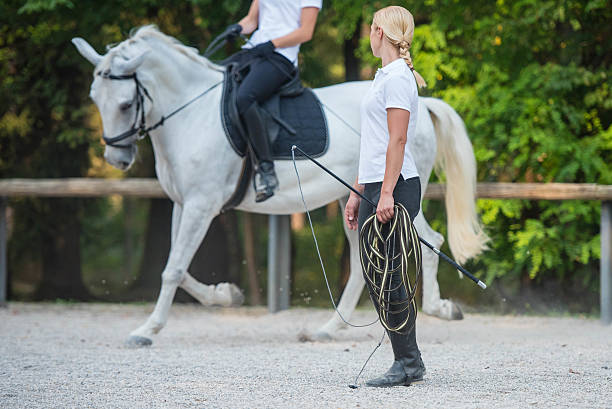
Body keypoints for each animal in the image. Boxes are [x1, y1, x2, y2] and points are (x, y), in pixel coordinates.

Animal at [71, 26, 490, 344]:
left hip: (393, 197)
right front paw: (227, 295)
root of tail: (422, 102)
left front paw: (147, 330)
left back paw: (441, 309)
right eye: (94, 98)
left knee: (431, 241)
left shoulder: (201, 204)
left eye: (125, 105)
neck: (191, 111)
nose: (117, 159)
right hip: (353, 200)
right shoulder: (182, 203)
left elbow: (173, 269)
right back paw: (329, 328)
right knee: (363, 263)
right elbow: (177, 265)